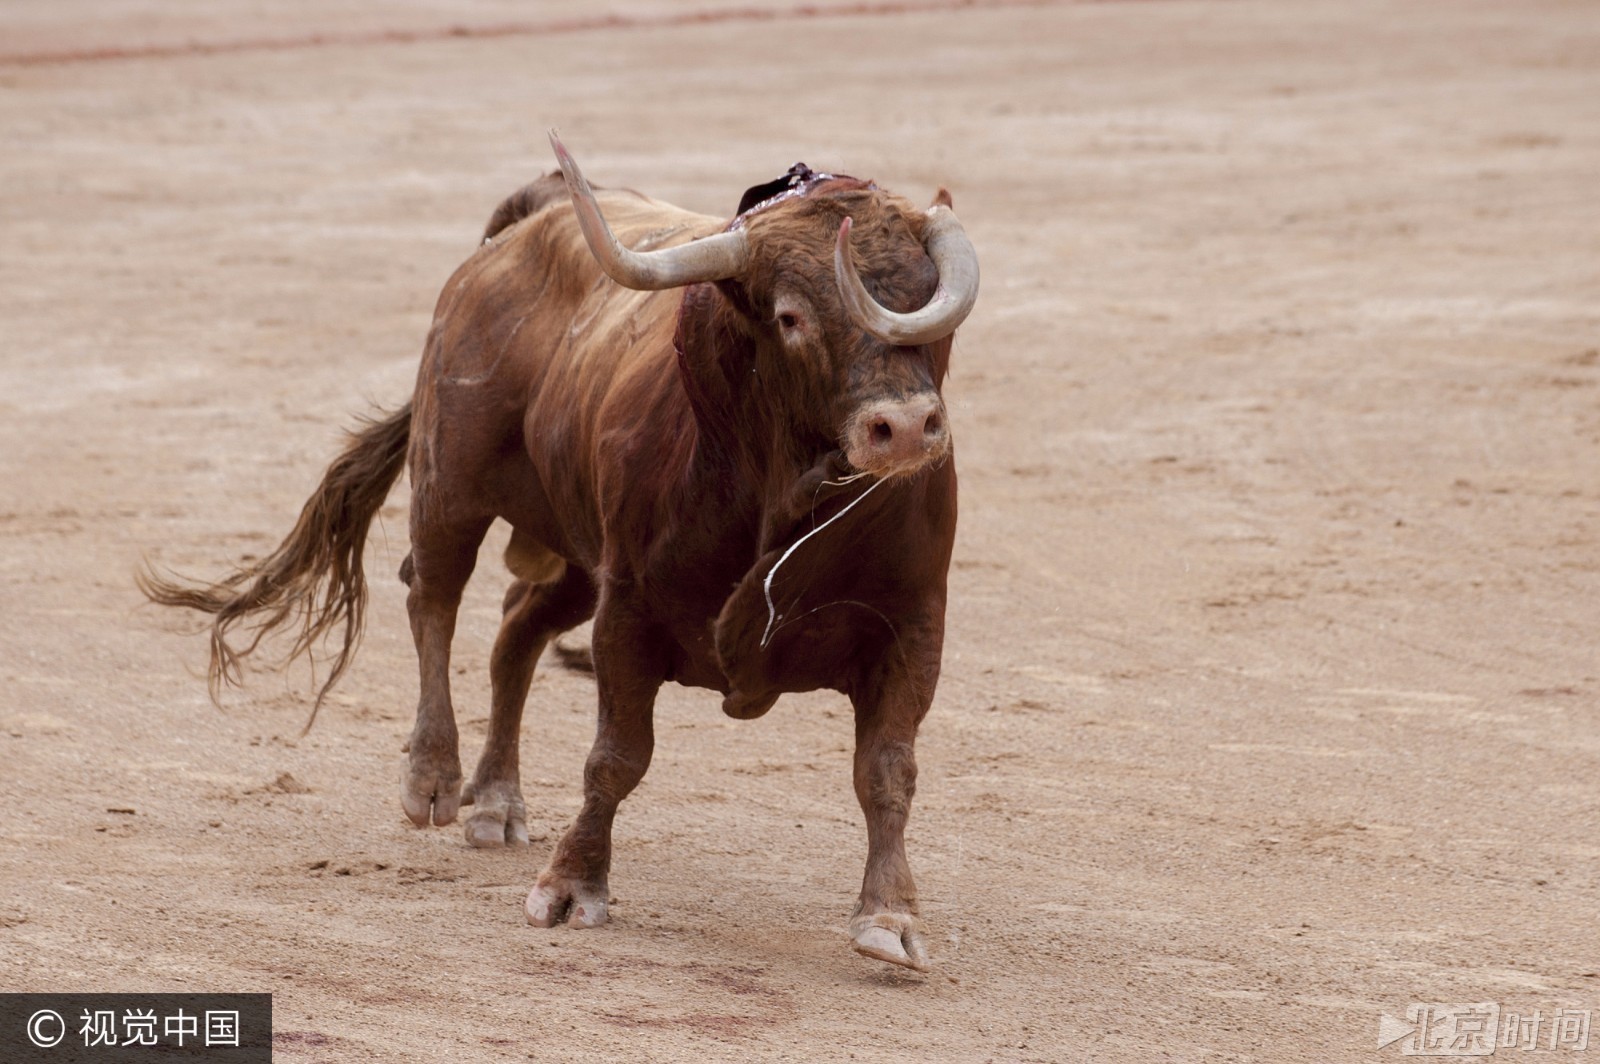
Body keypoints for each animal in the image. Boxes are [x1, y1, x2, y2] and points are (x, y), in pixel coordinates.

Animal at [140, 135, 972, 972]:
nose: (904, 427)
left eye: (927, 300)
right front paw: (572, 887)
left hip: (575, 557)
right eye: (792, 315)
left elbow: (888, 770)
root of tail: (522, 224)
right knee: (433, 596)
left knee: (516, 631)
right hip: (452, 482)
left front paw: (891, 917)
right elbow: (618, 755)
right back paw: (433, 777)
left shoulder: (914, 625)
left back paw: (495, 800)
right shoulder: (628, 609)